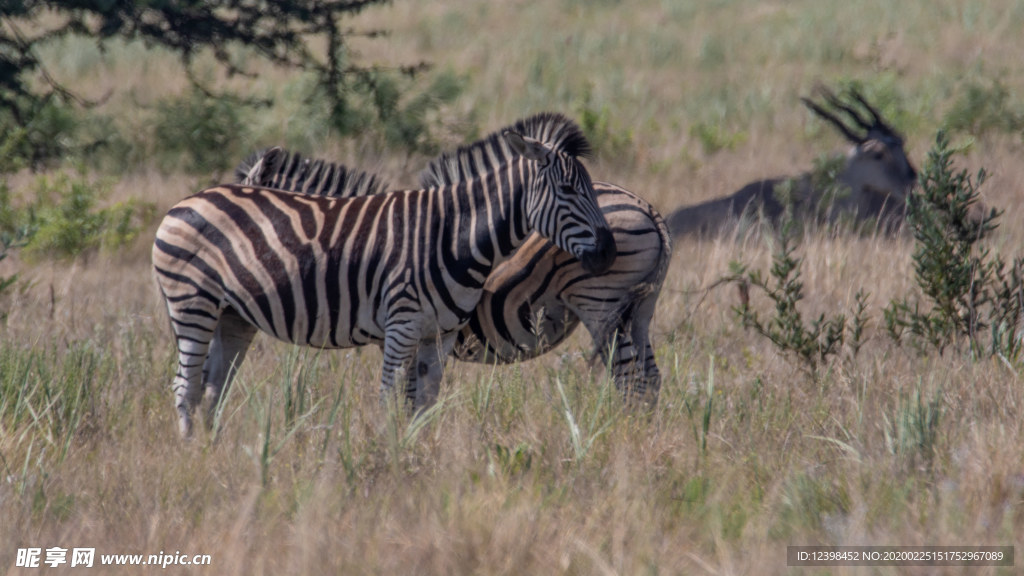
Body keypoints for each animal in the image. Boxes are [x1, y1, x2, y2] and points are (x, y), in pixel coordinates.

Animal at [151, 111, 614, 434]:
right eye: (568, 190)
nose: (608, 252)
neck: (452, 235)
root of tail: (187, 201)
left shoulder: (438, 336)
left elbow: (422, 406)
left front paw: (416, 457)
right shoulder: (401, 327)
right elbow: (391, 401)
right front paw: (385, 457)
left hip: (231, 316)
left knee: (209, 389)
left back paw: (211, 453)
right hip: (193, 303)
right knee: (186, 387)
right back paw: (193, 459)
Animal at [238, 141, 671, 401]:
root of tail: (647, 207)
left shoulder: (401, 328)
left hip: (600, 306)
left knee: (630, 383)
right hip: (641, 310)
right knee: (650, 379)